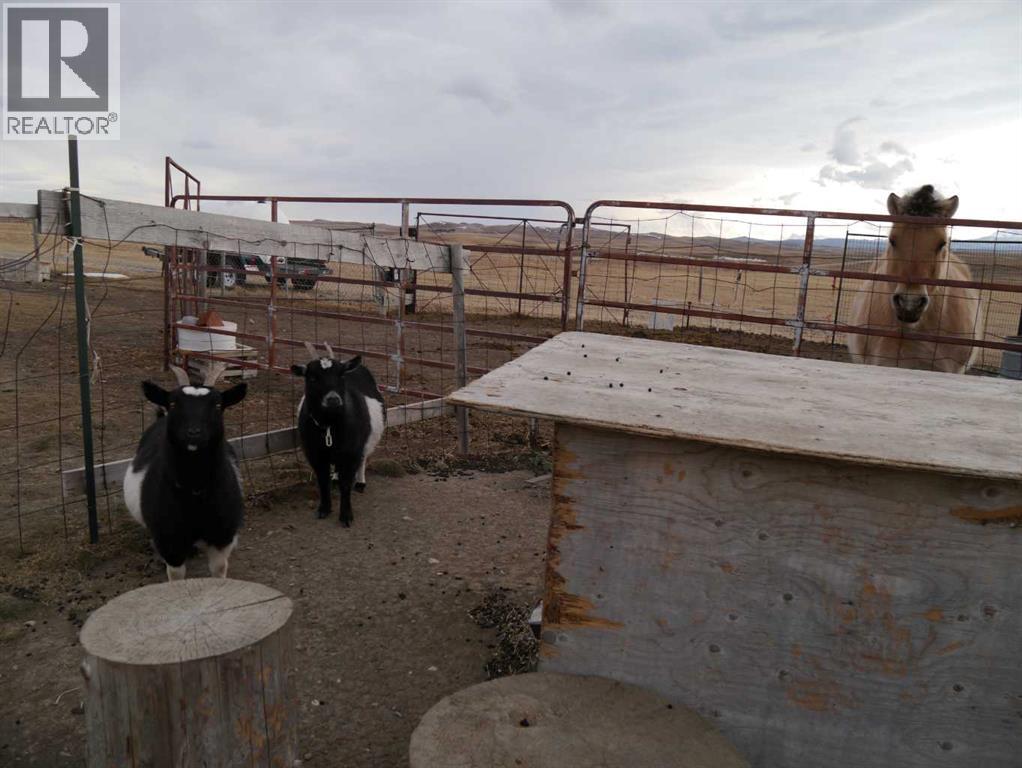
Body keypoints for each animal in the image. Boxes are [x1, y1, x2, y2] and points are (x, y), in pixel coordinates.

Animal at [123, 362, 248, 581]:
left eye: (218, 406)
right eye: (173, 403)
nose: (194, 433)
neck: (194, 489)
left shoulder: (222, 537)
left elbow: (219, 570)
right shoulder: (170, 541)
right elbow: (175, 575)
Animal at [291, 342, 385, 526]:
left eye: (341, 376)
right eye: (312, 378)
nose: (333, 400)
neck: (329, 425)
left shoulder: (351, 452)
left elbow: (346, 483)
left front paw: (346, 515)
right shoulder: (315, 454)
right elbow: (322, 481)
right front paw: (324, 509)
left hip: (365, 441)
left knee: (363, 458)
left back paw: (360, 482)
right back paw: (335, 478)